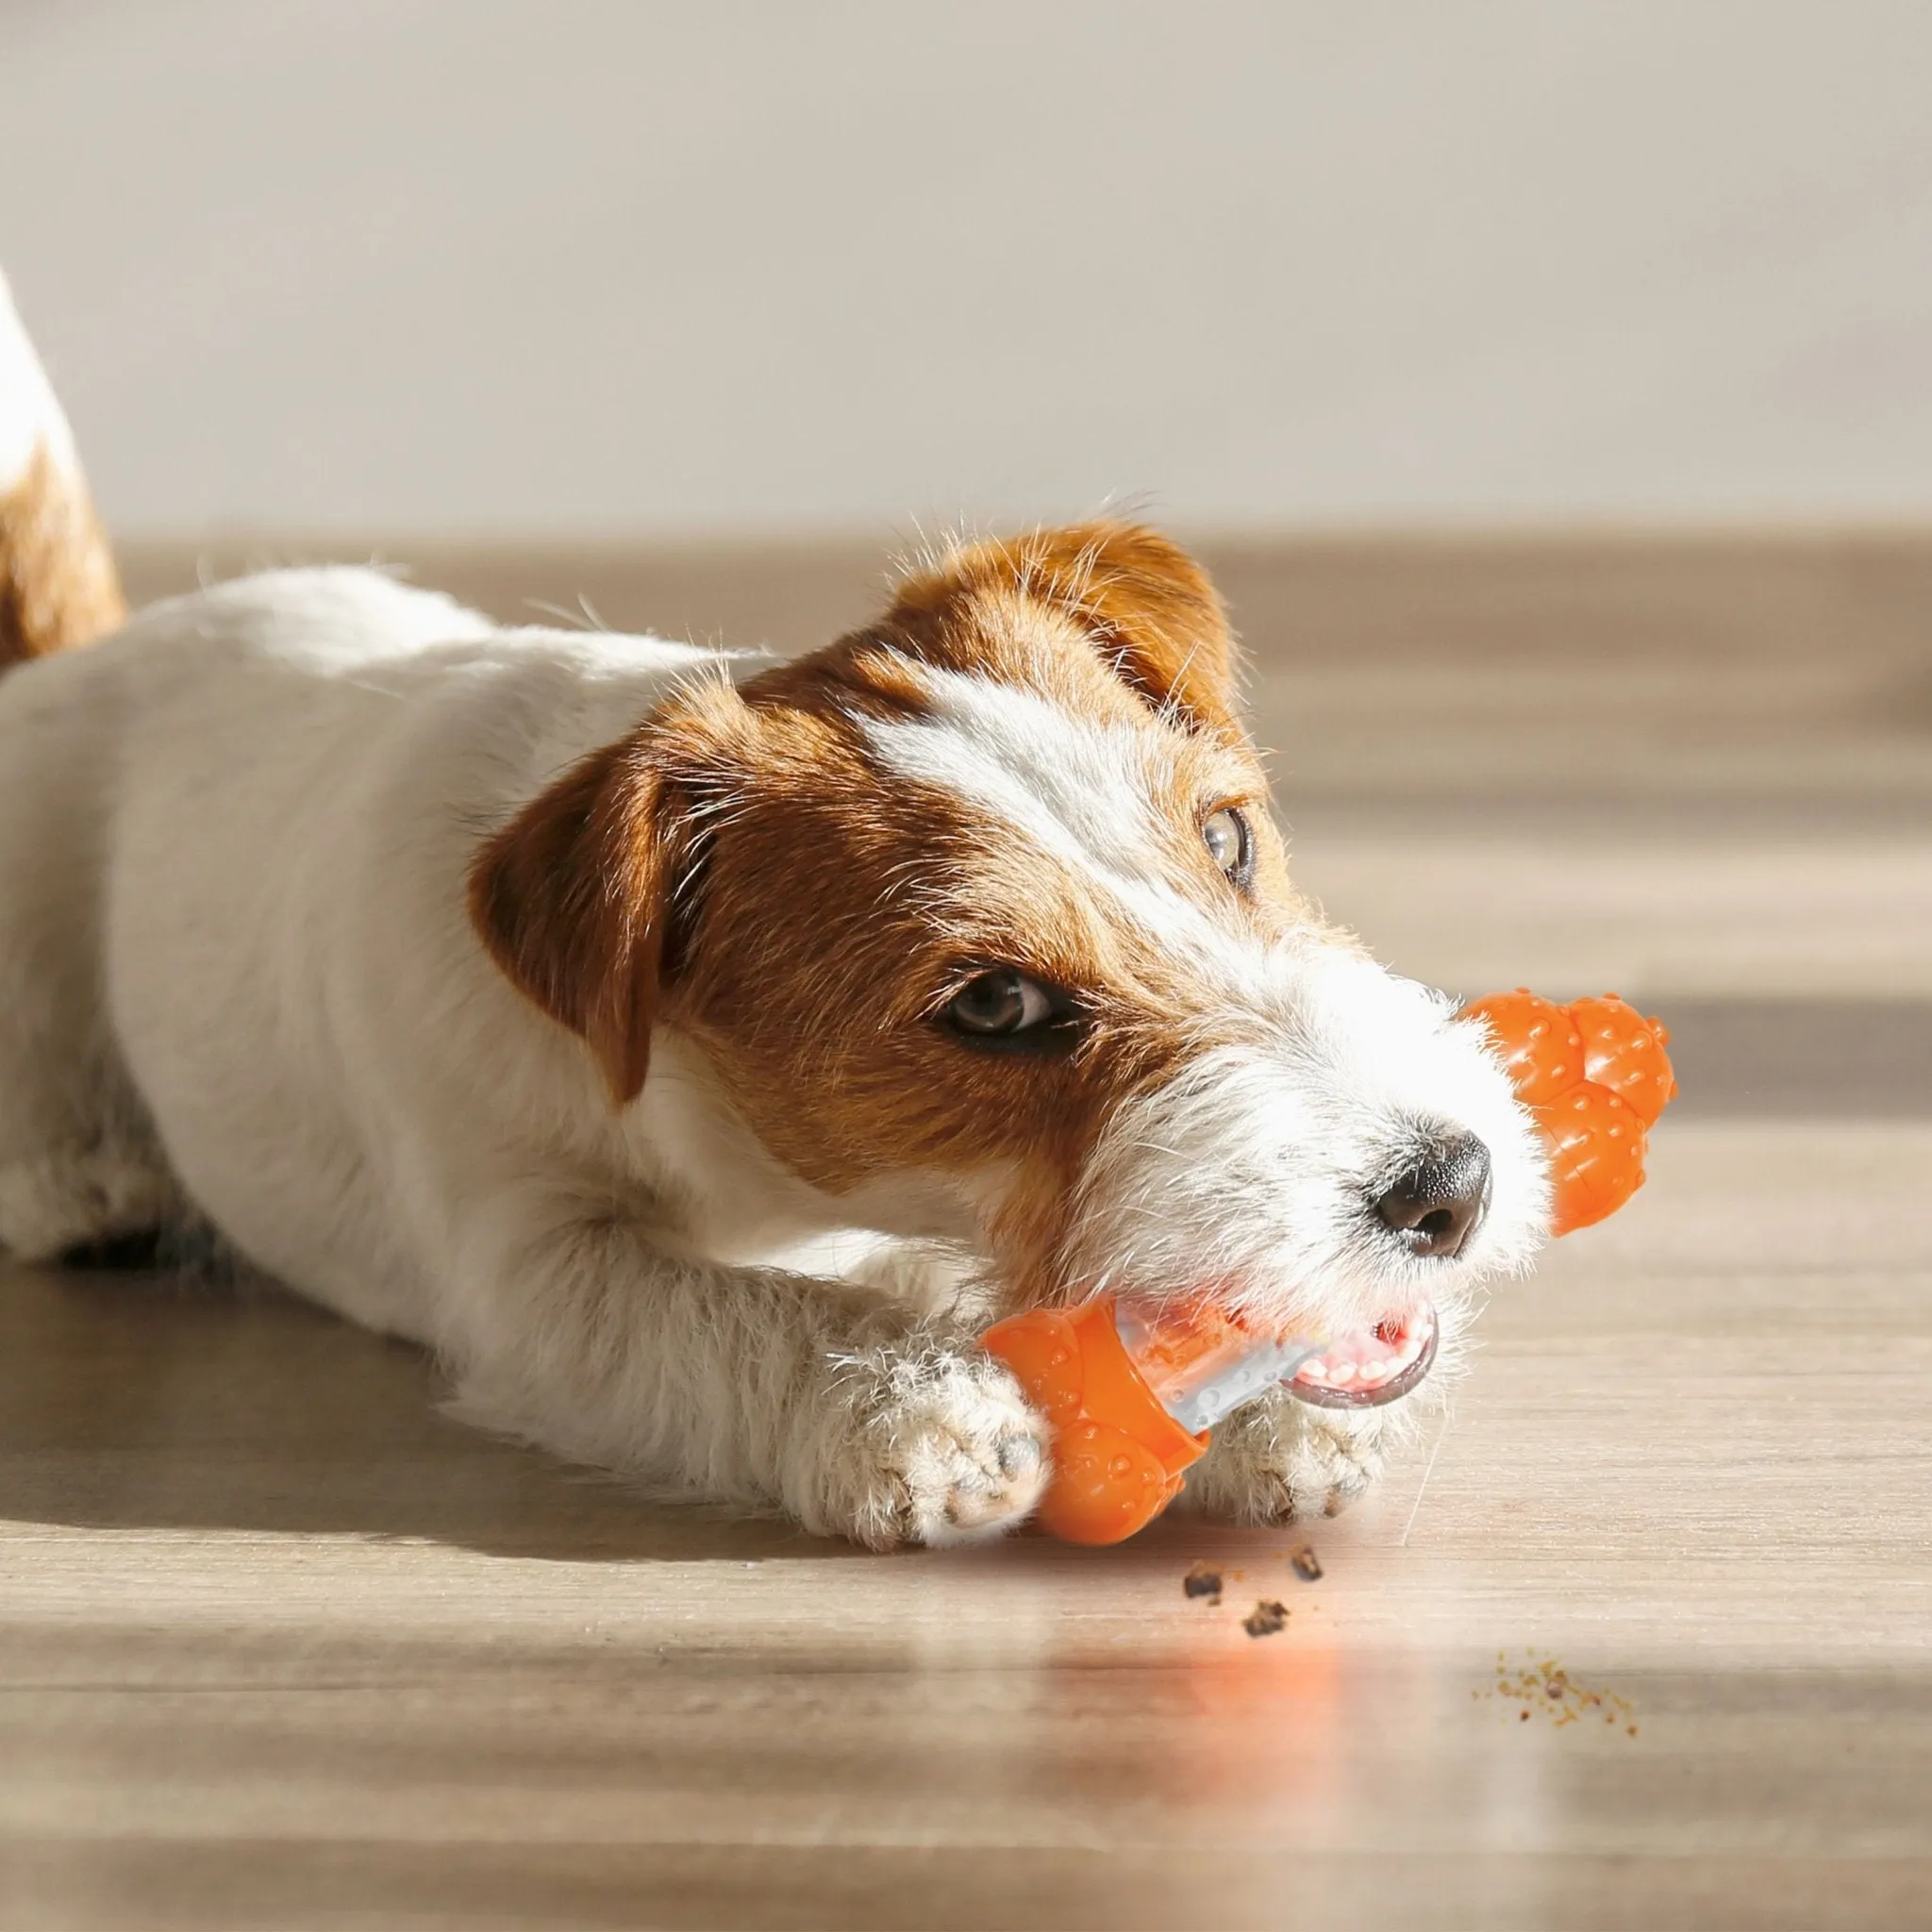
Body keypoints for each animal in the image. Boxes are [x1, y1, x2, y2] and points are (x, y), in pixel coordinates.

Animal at [0, 275, 1538, 1538]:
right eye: (995, 1002)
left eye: (1225, 837)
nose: (1449, 1187)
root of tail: (80, 666)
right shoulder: (531, 1269)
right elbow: (731, 1317)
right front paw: (912, 1409)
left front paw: (1261, 1400)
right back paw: (90, 1180)